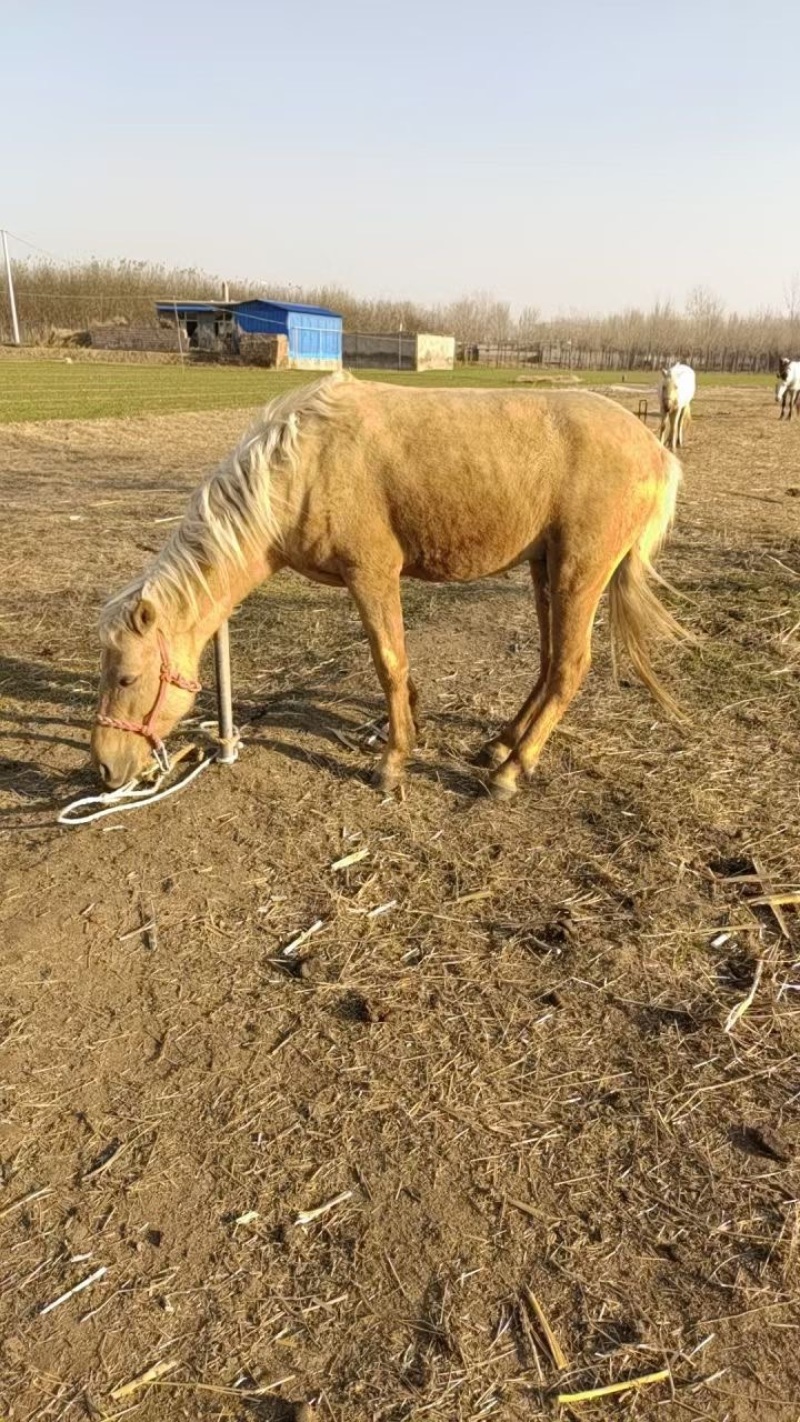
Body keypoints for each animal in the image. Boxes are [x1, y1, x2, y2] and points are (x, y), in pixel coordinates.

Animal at [91, 372, 689, 802]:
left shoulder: (372, 574)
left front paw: (393, 761)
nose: (104, 766)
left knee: (568, 667)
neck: (302, 466)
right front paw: (411, 728)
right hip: (546, 571)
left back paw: (511, 771)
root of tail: (656, 451)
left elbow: (389, 662)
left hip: (577, 574)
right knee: (547, 663)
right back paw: (500, 745)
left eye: (126, 678)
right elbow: (399, 665)